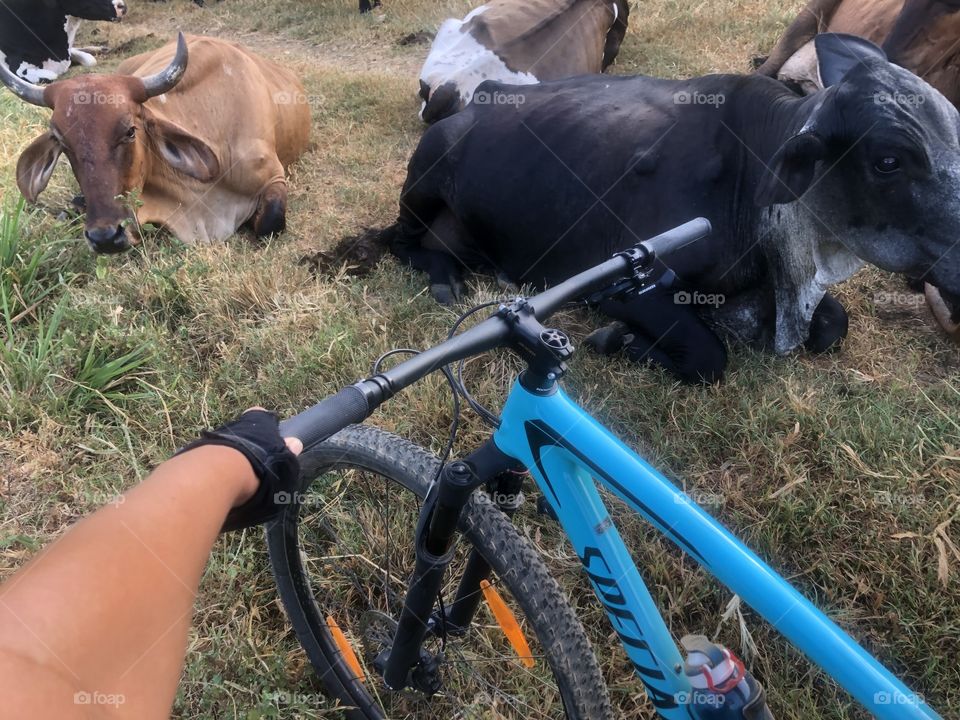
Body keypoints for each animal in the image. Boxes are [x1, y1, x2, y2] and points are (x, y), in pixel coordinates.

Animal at [356, 33, 960, 382]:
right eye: (888, 160)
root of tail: (480, 98)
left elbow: (834, 322)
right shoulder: (617, 283)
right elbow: (708, 357)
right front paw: (617, 340)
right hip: (425, 176)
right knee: (400, 241)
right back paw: (444, 279)